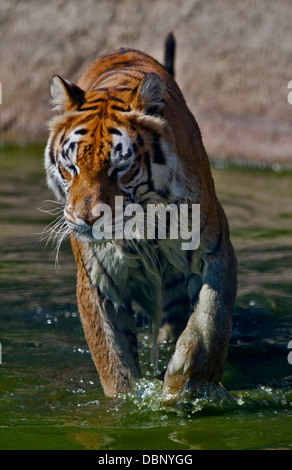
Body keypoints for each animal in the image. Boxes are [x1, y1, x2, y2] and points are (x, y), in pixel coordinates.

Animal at [44, 34, 236, 400]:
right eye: (71, 167)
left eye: (120, 168)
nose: (86, 219)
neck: (143, 225)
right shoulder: (98, 280)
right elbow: (112, 357)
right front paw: (126, 400)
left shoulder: (216, 250)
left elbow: (211, 317)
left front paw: (188, 378)